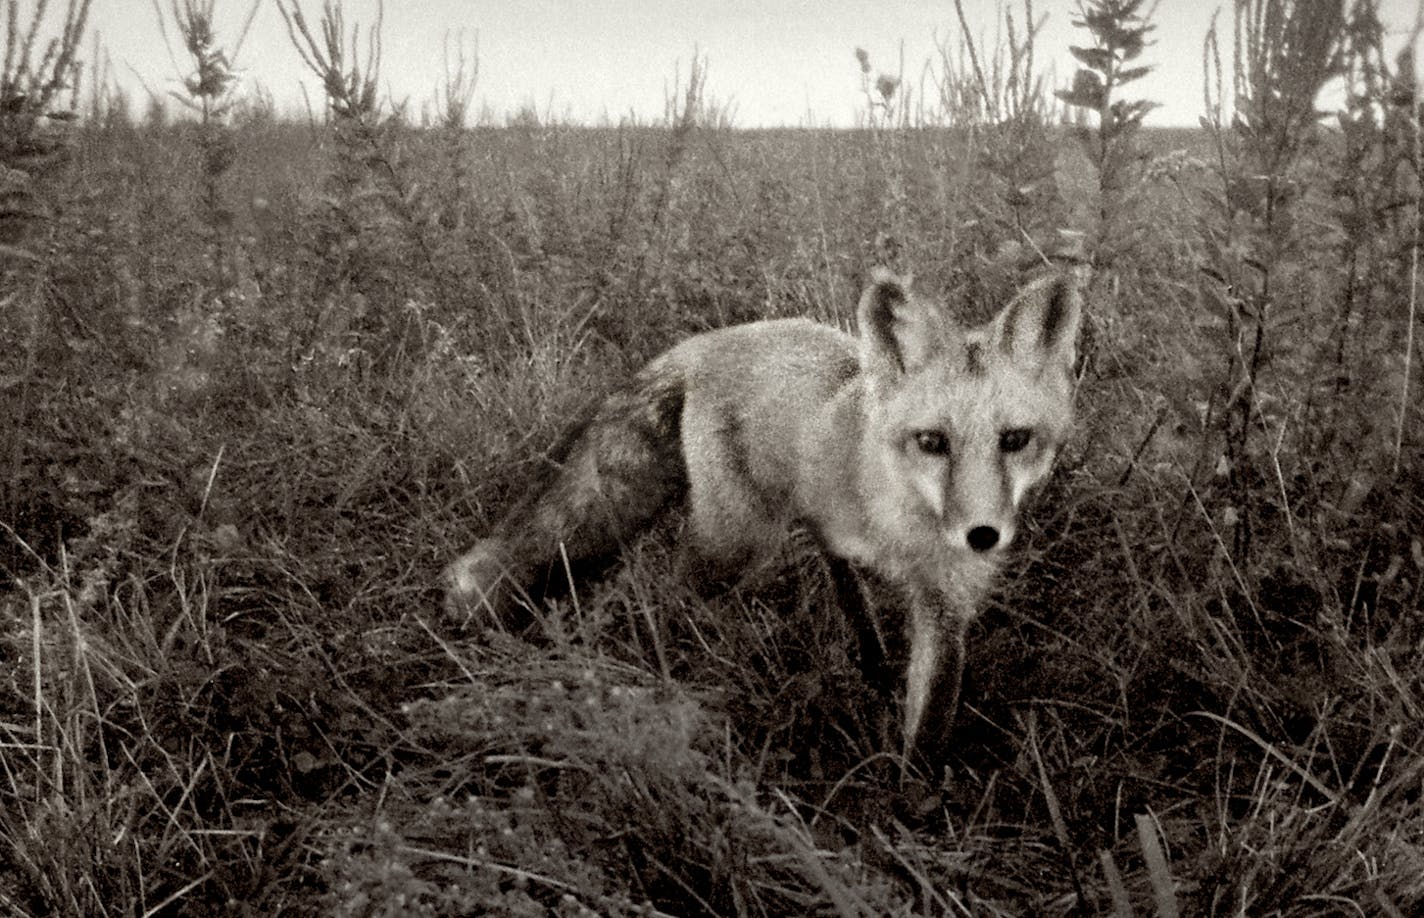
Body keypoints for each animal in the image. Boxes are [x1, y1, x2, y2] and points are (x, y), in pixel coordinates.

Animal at [444, 268, 1076, 762]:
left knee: (834, 570)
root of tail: (706, 341)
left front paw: (913, 805)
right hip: (735, 542)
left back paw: (869, 655)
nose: (982, 535)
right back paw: (669, 679)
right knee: (667, 591)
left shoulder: (945, 603)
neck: (900, 525)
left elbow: (928, 725)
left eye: (1015, 440)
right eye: (932, 442)